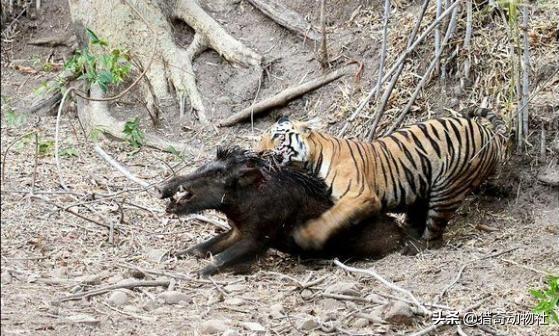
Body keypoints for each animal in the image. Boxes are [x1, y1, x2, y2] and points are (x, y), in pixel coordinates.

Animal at [256, 107, 510, 249]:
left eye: (276, 137)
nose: (257, 153)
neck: (312, 160)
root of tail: (490, 134)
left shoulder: (359, 195)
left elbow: (330, 217)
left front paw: (308, 237)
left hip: (448, 188)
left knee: (434, 231)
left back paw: (417, 246)